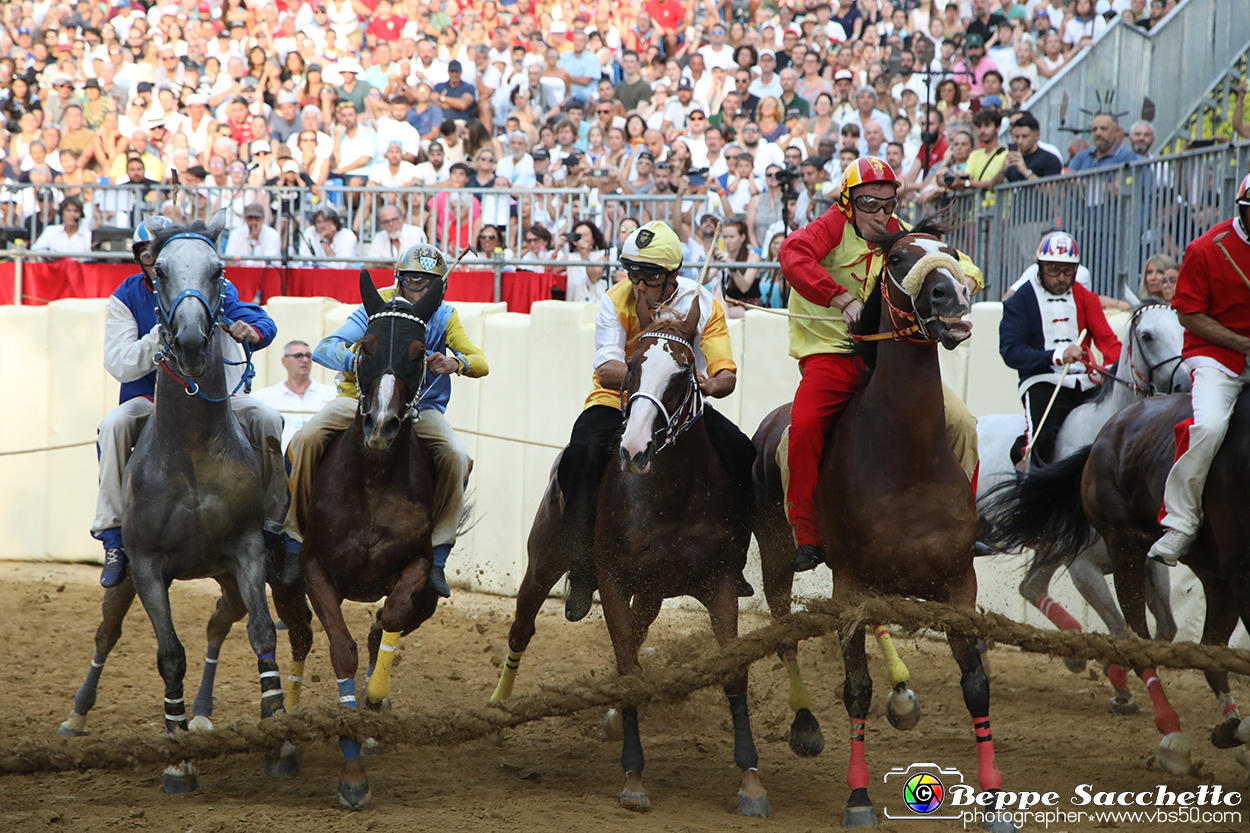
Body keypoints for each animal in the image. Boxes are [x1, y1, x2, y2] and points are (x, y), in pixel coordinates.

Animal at [296, 271, 445, 805]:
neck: (375, 478)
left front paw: (375, 697)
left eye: (421, 351)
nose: (381, 423)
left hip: (430, 597)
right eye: (366, 345)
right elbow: (342, 649)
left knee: (390, 622)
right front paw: (352, 773)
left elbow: (393, 614)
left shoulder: (417, 565)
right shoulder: (314, 569)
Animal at [750, 222, 1015, 830]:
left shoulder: (957, 584)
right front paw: (858, 796)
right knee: (784, 629)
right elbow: (856, 689)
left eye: (953, 254)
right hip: (779, 557)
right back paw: (806, 724)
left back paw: (903, 693)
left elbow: (976, 686)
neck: (907, 460)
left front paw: (993, 798)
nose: (951, 296)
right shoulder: (850, 586)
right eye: (898, 259)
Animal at [975, 298, 1190, 705]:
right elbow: (1122, 630)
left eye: (1184, 330)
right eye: (1147, 335)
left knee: (1031, 587)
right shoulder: (1084, 569)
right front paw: (1118, 683)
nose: (1185, 382)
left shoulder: (1145, 564)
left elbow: (1164, 629)